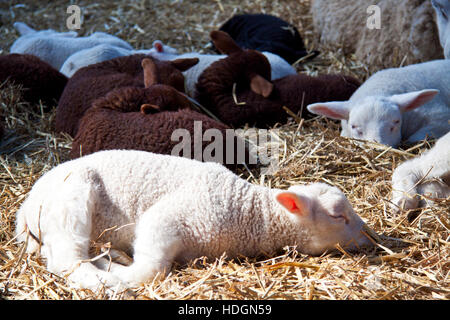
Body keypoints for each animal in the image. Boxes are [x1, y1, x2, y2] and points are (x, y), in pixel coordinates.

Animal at [14, 150, 372, 290]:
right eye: (338, 216)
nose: (371, 239)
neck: (251, 213)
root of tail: (28, 205)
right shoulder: (167, 219)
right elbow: (151, 271)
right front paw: (122, 277)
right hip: (71, 200)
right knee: (66, 260)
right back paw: (104, 272)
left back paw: (110, 254)